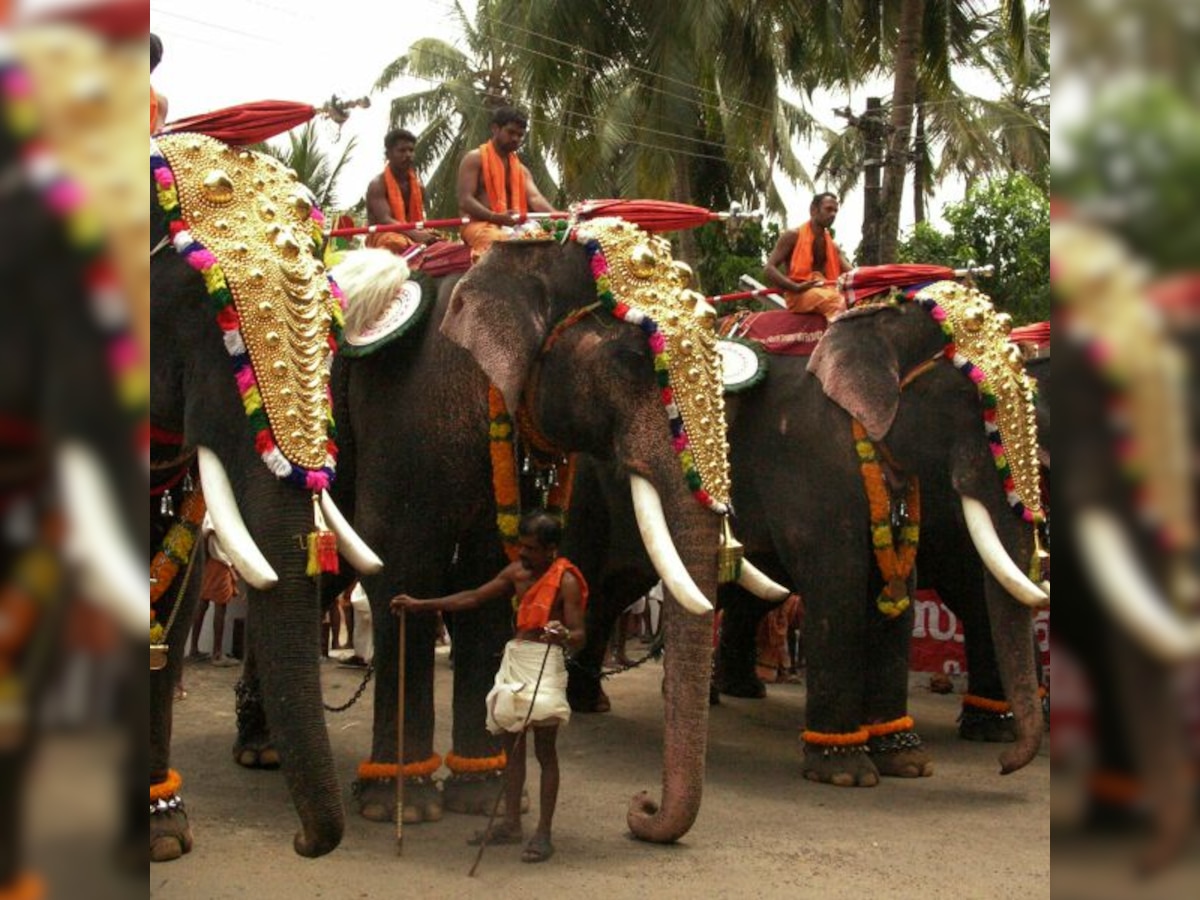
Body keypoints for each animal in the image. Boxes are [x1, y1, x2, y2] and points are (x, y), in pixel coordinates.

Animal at [324, 225, 787, 844]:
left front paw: (482, 794)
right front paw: (405, 808)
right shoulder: (409, 408)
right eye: (632, 359)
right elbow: (401, 560)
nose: (640, 806)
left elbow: (489, 576)